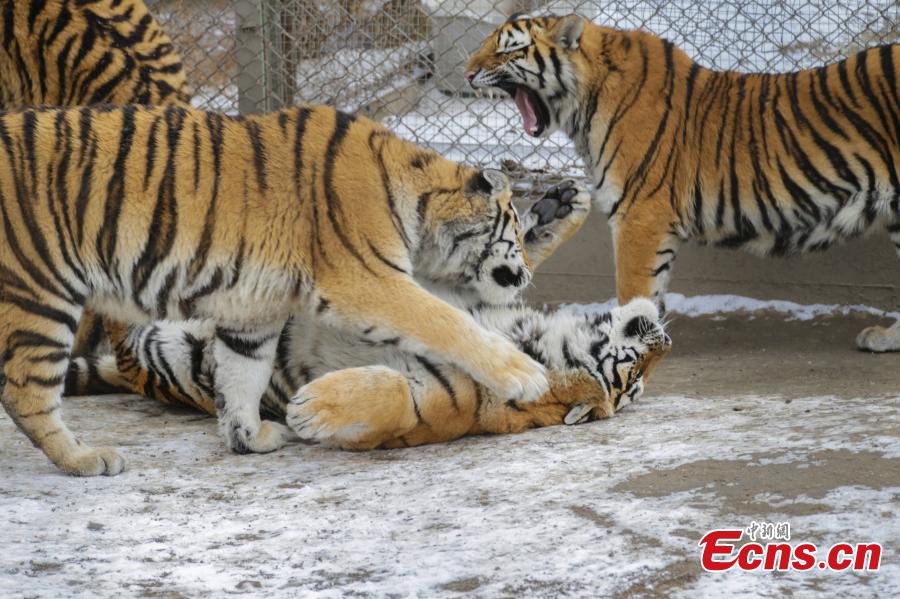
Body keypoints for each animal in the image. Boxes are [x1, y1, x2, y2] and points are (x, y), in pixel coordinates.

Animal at [0, 104, 548, 478]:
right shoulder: (366, 279)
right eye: (516, 232)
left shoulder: (252, 312)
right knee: (25, 391)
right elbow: (445, 322)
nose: (527, 274)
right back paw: (85, 459)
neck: (420, 198)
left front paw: (251, 438)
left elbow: (242, 376)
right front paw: (526, 376)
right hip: (39, 293)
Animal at [63, 183, 668, 450]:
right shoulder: (454, 290)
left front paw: (311, 410)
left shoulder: (431, 407)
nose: (660, 333)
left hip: (162, 348)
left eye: (632, 380)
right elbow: (505, 260)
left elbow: (393, 395)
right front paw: (557, 207)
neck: (526, 334)